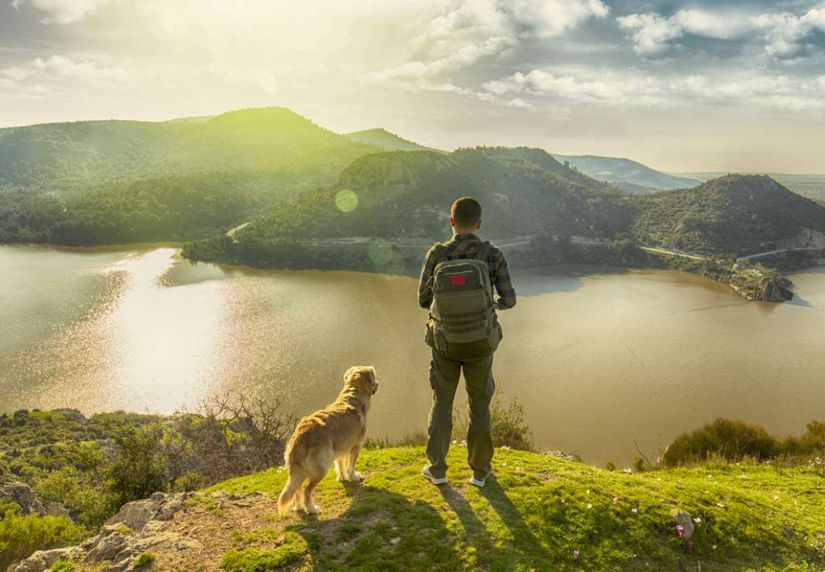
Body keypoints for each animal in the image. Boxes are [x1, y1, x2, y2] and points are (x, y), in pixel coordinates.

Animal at [276, 364, 380, 516]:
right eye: (373, 377)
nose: (378, 383)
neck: (353, 395)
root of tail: (300, 436)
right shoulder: (355, 447)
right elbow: (351, 465)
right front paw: (354, 477)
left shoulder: (340, 448)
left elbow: (341, 464)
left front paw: (343, 478)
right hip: (321, 467)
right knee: (307, 491)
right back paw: (311, 509)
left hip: (300, 470)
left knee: (297, 489)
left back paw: (300, 507)